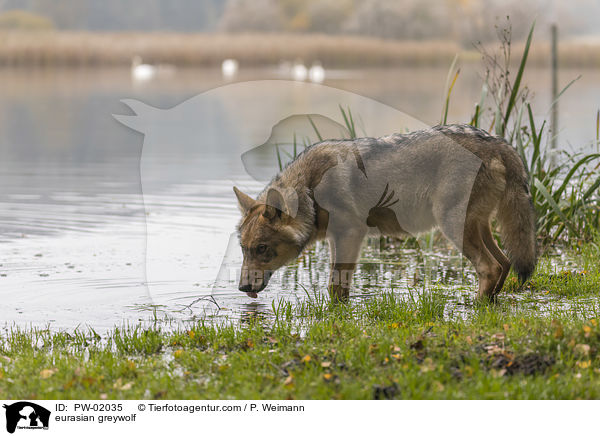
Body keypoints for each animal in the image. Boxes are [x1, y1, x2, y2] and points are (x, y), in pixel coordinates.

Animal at [232, 122, 536, 300]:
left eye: (261, 248)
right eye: (244, 249)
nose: (242, 288)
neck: (310, 189)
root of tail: (499, 142)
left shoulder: (350, 236)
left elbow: (335, 286)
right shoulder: (337, 240)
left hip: (453, 227)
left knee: (490, 267)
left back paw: (475, 308)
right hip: (479, 227)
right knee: (504, 263)